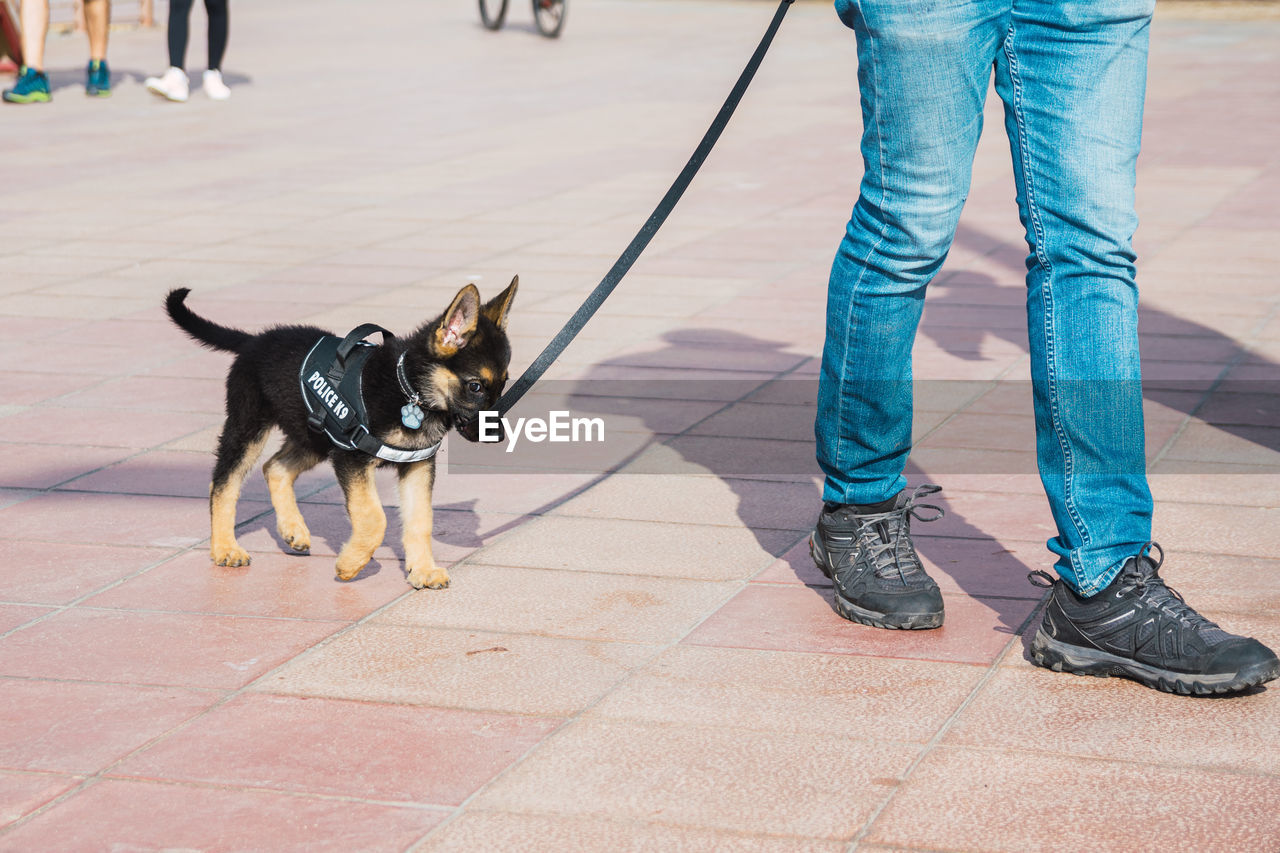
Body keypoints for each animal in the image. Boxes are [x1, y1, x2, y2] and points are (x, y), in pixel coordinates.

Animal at [165, 277, 514, 584]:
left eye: (504, 383)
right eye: (475, 386)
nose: (497, 437)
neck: (408, 390)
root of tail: (254, 341)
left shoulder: (416, 466)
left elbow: (420, 520)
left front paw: (423, 570)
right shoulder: (351, 458)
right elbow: (373, 517)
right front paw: (351, 564)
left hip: (314, 437)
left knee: (274, 467)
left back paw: (292, 529)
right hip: (249, 427)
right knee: (223, 483)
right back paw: (225, 547)